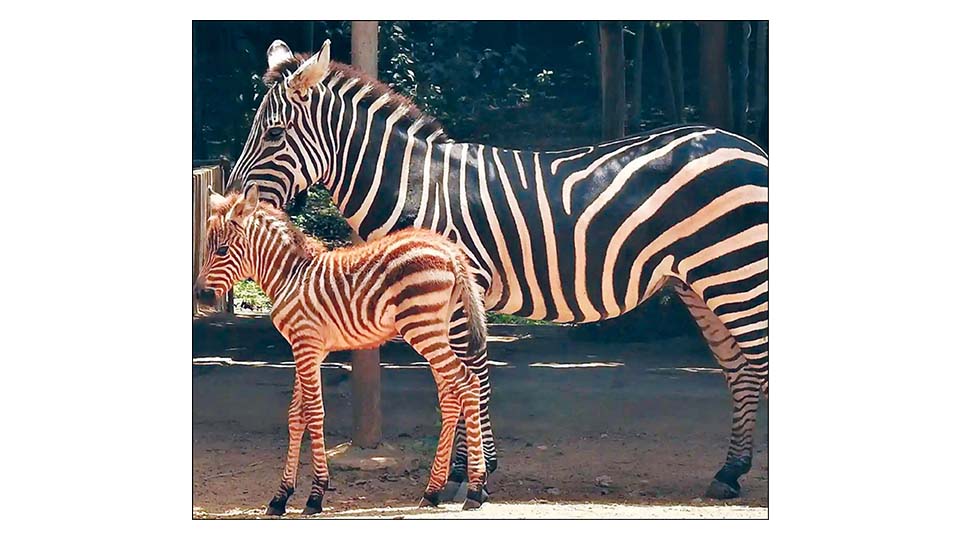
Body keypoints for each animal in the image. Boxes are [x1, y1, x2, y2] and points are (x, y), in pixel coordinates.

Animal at [193, 185, 490, 514]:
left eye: (222, 250)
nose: (201, 296)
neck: (291, 276)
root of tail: (450, 250)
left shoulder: (306, 344)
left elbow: (313, 412)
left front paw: (316, 495)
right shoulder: (308, 348)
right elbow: (296, 415)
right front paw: (281, 496)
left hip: (423, 329)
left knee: (468, 384)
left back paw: (475, 489)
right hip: (436, 330)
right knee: (451, 396)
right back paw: (432, 491)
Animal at [227, 39, 769, 500]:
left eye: (273, 133)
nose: (232, 204)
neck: (418, 185)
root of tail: (748, 146)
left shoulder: (460, 286)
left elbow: (469, 373)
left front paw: (470, 476)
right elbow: (466, 374)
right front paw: (471, 470)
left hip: (737, 273)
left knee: (757, 362)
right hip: (700, 283)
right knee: (738, 367)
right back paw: (728, 472)